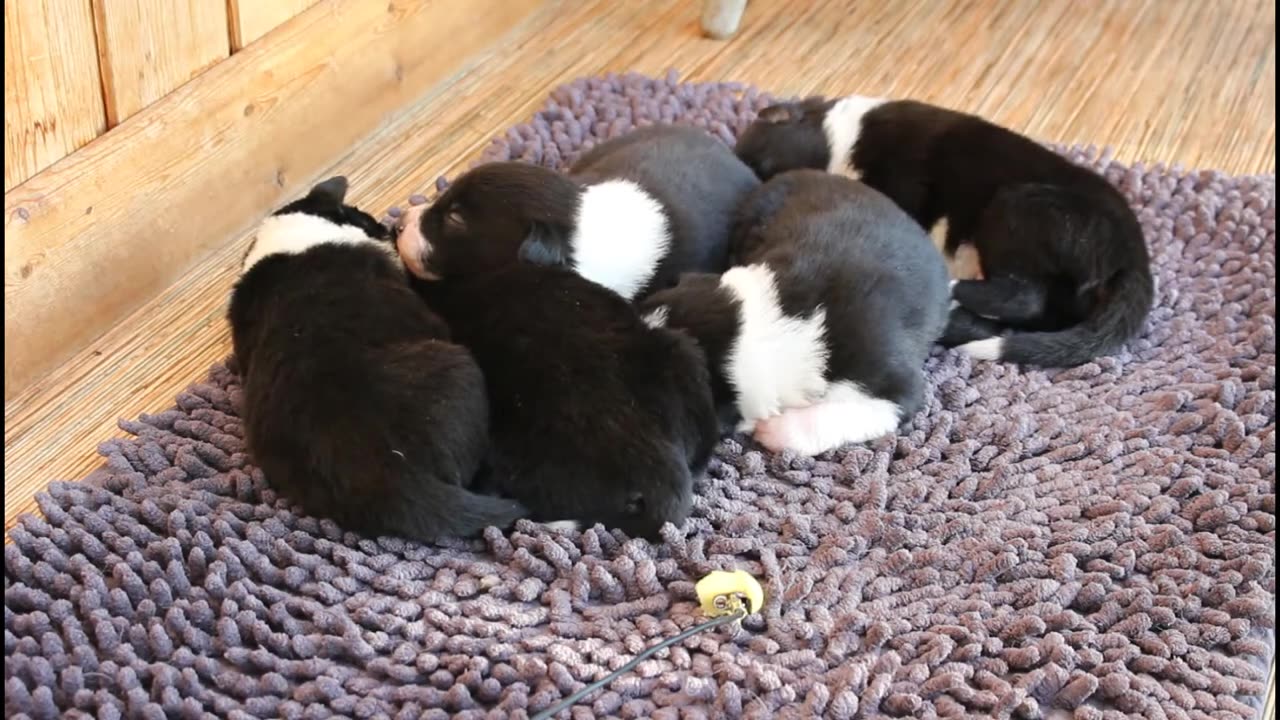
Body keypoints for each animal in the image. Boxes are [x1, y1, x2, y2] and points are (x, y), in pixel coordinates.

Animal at [732, 95, 1162, 363]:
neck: (840, 137)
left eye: (764, 167)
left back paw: (954, 288)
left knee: (1025, 296)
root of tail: (1133, 256)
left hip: (1016, 205)